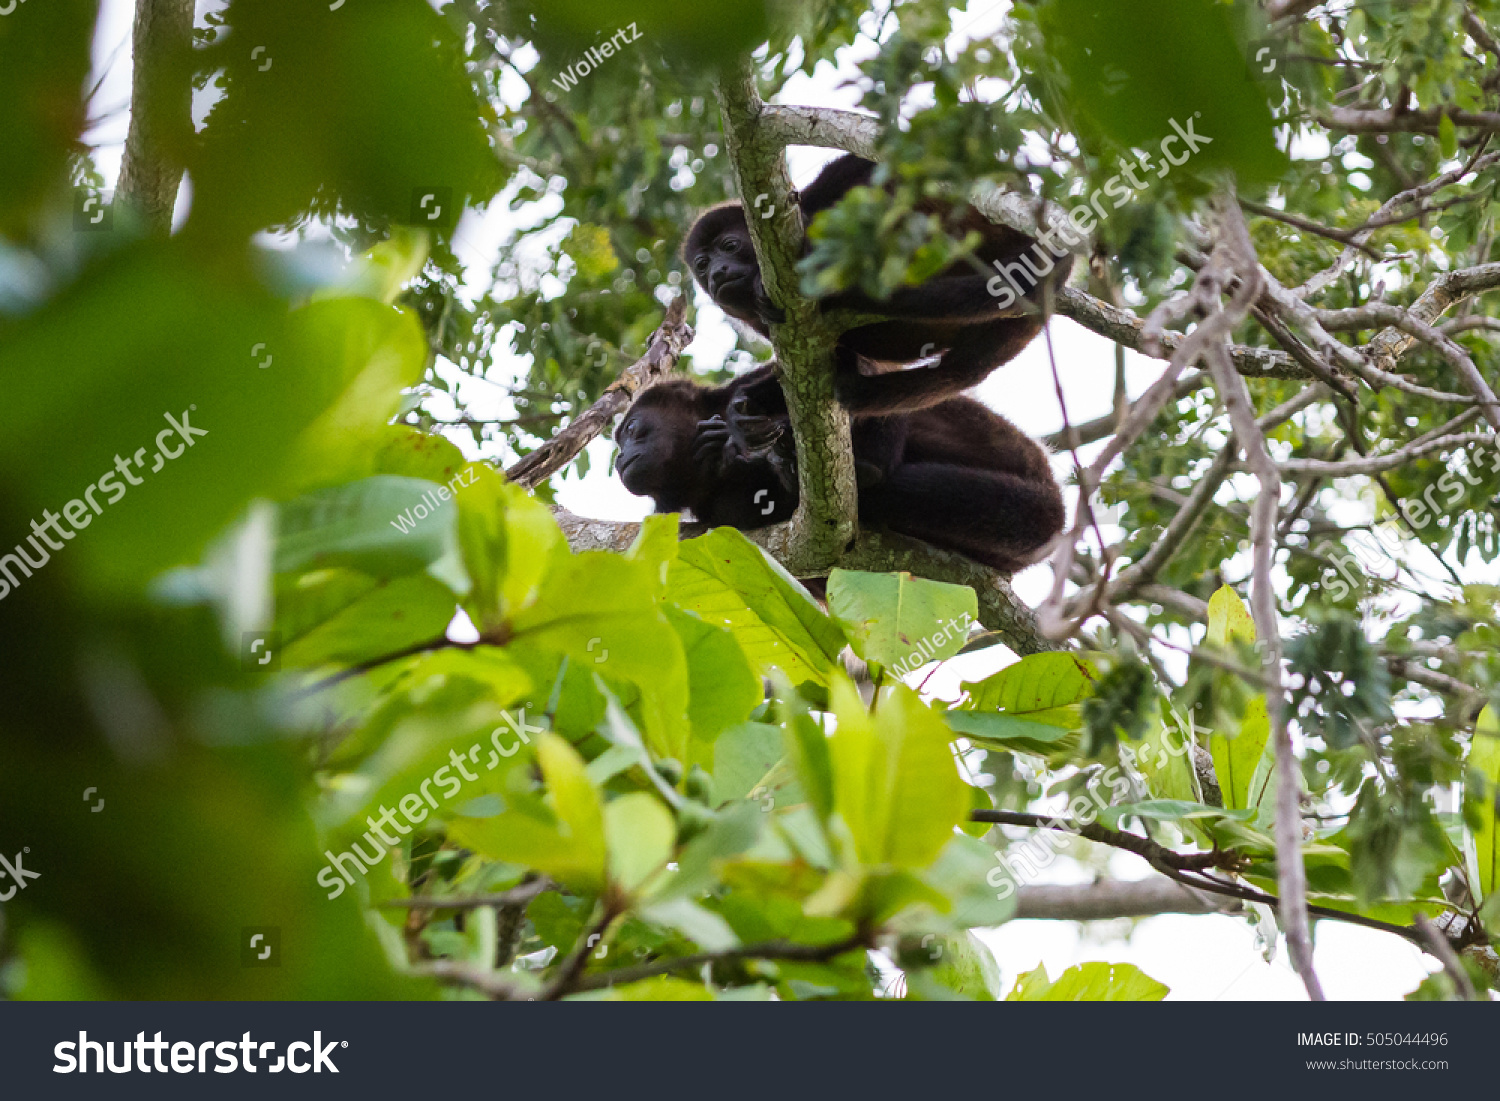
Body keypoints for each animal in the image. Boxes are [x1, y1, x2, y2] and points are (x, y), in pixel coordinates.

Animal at [612, 366, 1068, 573]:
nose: (618, 459)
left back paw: (865, 467)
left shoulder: (736, 389)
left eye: (632, 430)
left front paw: (730, 444)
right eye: (619, 443)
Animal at [687, 153, 1074, 417]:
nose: (717, 273)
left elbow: (863, 165)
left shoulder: (812, 199)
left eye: (729, 246)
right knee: (961, 370)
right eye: (702, 264)